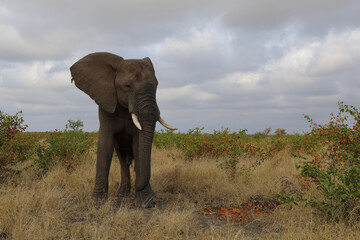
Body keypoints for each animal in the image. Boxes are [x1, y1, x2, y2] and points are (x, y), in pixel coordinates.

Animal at [70, 53, 176, 208]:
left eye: (156, 86)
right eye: (127, 86)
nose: (140, 187)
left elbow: (138, 145)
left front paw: (145, 203)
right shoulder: (106, 102)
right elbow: (105, 145)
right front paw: (97, 203)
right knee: (121, 159)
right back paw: (122, 194)